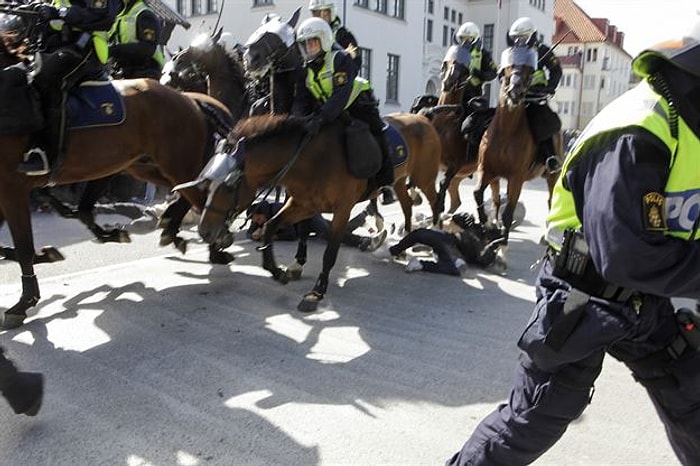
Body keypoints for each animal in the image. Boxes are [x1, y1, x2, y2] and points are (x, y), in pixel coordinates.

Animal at [190, 112, 442, 314]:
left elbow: (329, 252)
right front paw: (278, 270)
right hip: (400, 180)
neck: (312, 159)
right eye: (208, 183)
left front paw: (317, 292)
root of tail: (422, 118)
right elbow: (271, 226)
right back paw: (406, 241)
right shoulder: (303, 204)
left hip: (425, 177)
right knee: (407, 204)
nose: (204, 231)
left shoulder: (342, 208)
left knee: (435, 202)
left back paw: (434, 236)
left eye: (229, 185)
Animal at [474, 42, 560, 270]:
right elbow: (478, 194)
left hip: (552, 175)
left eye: (530, 70)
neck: (506, 132)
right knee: (496, 201)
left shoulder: (516, 179)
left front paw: (502, 250)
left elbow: (508, 213)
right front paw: (488, 225)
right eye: (508, 67)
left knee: (550, 200)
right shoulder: (486, 170)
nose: (516, 91)